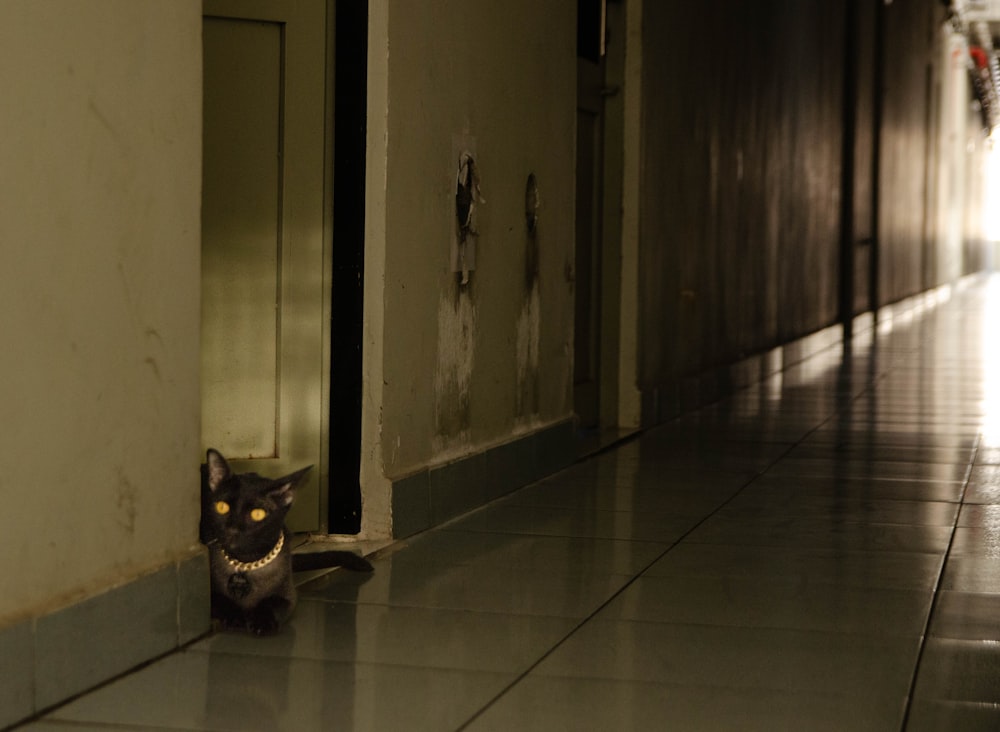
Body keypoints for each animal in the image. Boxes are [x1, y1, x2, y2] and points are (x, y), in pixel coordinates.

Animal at [201, 446, 374, 636]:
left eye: (257, 514)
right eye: (222, 507)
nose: (232, 529)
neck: (246, 563)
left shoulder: (288, 596)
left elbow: (270, 603)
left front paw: (262, 622)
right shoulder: (208, 593)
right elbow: (221, 600)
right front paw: (235, 616)